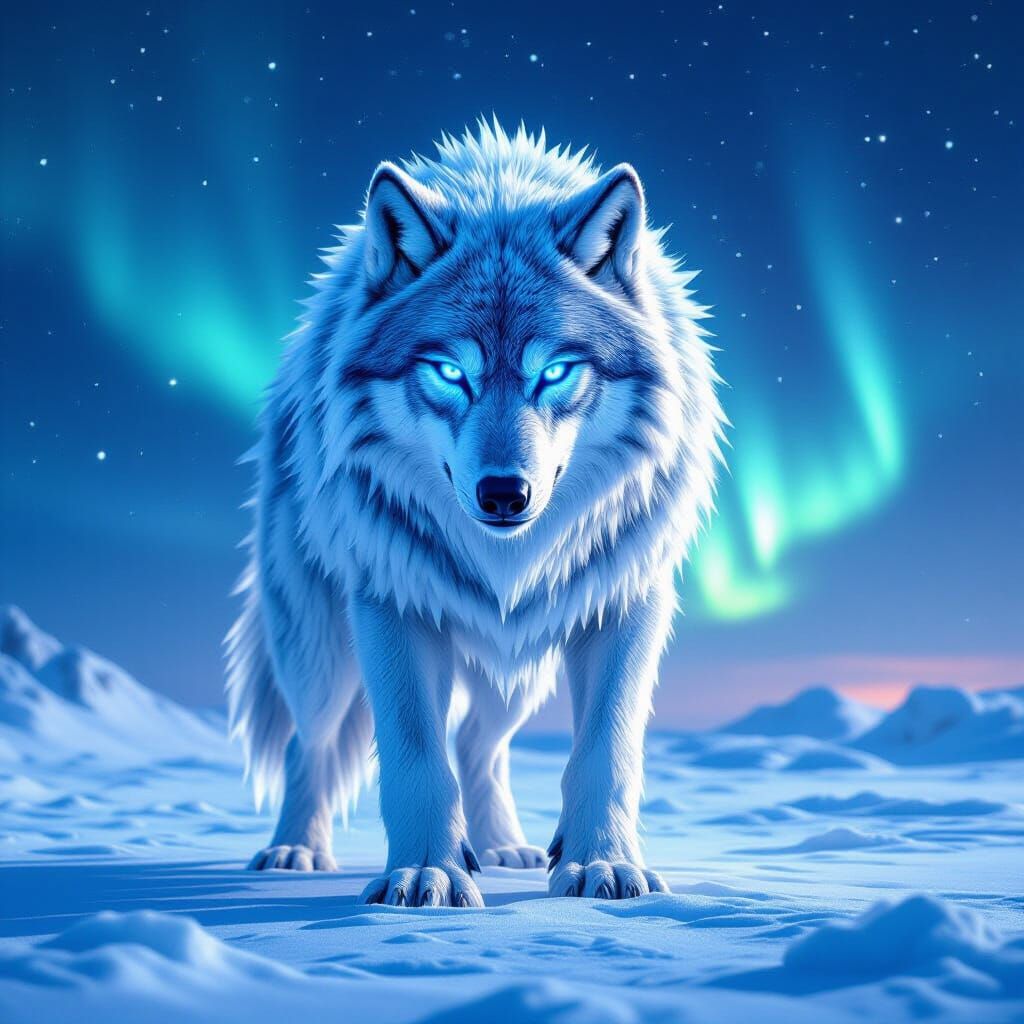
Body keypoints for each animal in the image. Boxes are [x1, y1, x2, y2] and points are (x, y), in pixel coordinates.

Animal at [226, 120, 725, 907]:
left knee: (478, 742)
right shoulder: (390, 603)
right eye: (449, 373)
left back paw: (502, 848)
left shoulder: (626, 598)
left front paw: (602, 865)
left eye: (555, 372)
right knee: (315, 740)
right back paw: (295, 850)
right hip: (317, 645)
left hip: (516, 658)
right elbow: (414, 756)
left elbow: (607, 750)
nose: (503, 495)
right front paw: (425, 874)